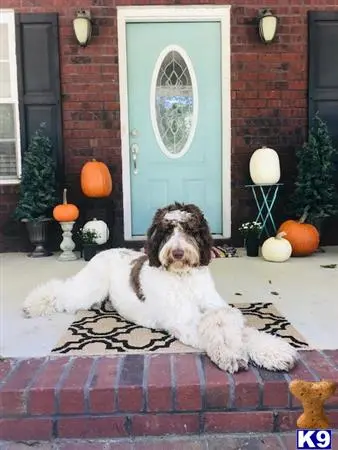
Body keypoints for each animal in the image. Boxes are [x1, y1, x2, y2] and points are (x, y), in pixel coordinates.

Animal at [22, 203, 298, 372]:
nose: (177, 253)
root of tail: (105, 250)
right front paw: (230, 354)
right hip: (87, 289)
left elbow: (245, 332)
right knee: (60, 292)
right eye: (166, 232)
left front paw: (276, 352)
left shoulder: (217, 308)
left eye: (190, 230)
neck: (184, 278)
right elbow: (213, 332)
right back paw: (32, 303)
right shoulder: (184, 323)